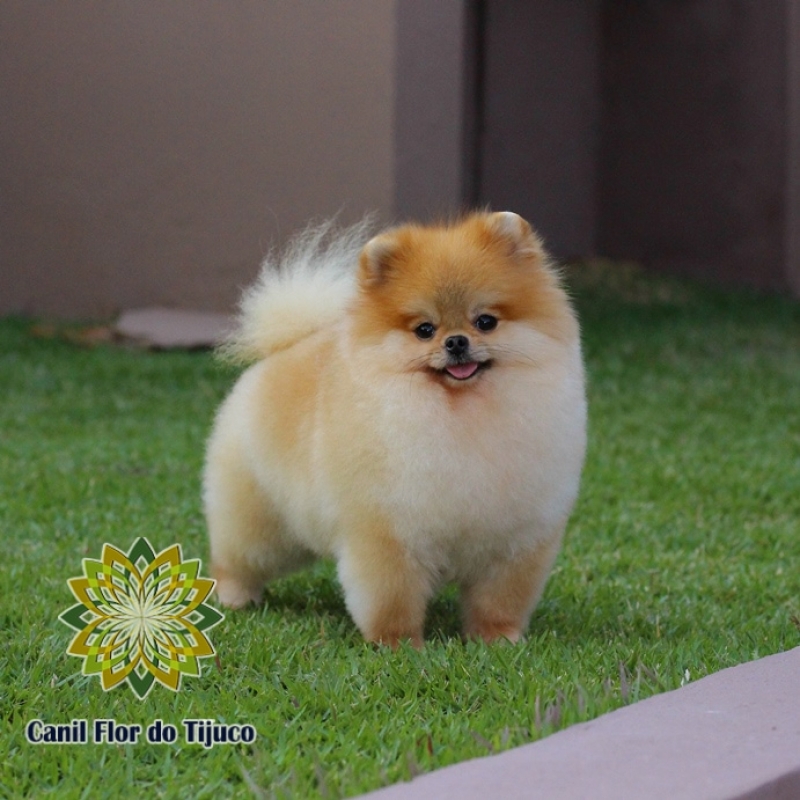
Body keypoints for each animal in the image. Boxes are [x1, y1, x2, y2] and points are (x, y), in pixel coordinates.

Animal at [203, 209, 584, 648]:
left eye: (486, 321)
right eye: (424, 329)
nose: (456, 342)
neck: (463, 414)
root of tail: (288, 347)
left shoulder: (516, 542)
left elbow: (498, 600)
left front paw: (497, 639)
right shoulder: (388, 535)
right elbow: (392, 598)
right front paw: (399, 645)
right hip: (261, 520)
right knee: (236, 558)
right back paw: (234, 598)